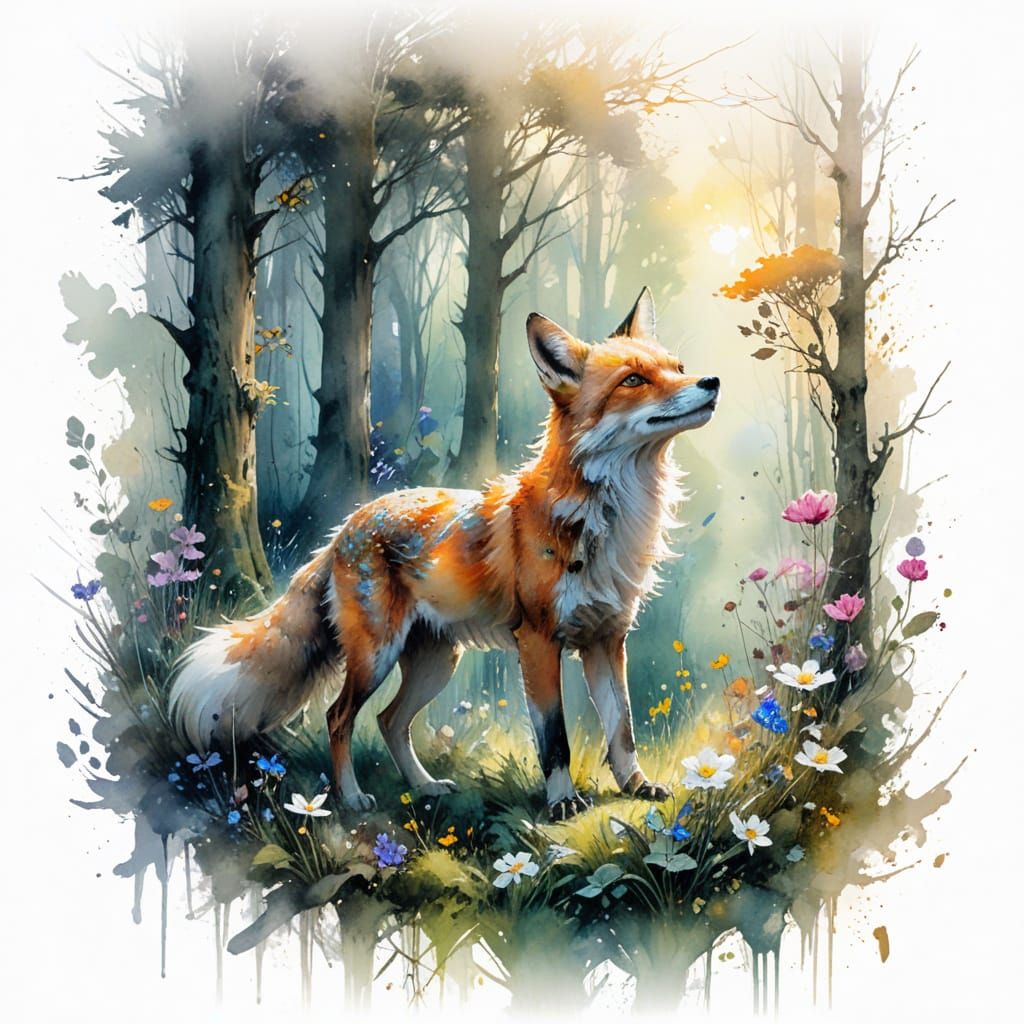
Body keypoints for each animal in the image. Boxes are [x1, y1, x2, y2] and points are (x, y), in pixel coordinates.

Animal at [169, 287, 720, 820]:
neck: (605, 520)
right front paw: (563, 801)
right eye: (633, 380)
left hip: (436, 662)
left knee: (390, 721)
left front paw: (637, 785)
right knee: (339, 716)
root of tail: (345, 526)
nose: (711, 380)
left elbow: (622, 727)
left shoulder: (607, 638)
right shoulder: (539, 641)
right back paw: (351, 797)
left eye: (677, 367)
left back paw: (425, 786)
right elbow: (555, 739)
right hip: (377, 656)